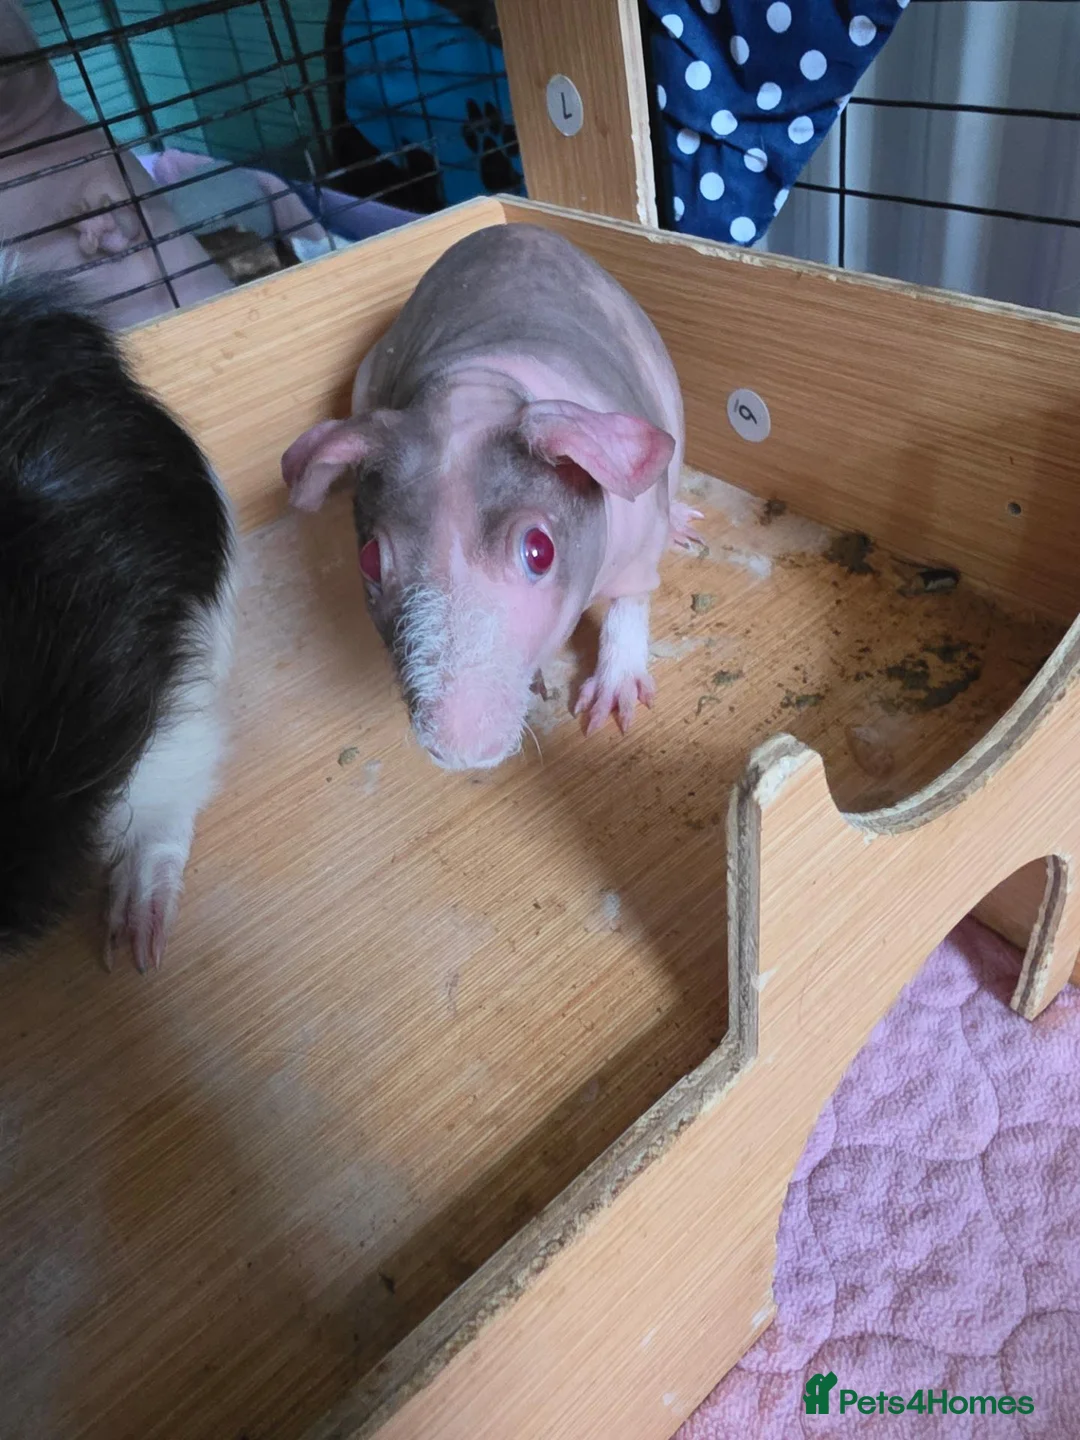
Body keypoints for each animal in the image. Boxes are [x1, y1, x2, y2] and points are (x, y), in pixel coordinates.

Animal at [280, 222, 696, 772]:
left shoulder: (637, 525)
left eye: (539, 551)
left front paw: (615, 688)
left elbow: (631, 596)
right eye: (369, 558)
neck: (475, 389)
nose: (460, 753)